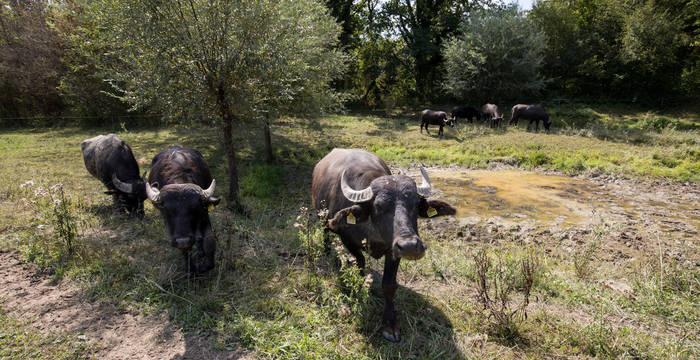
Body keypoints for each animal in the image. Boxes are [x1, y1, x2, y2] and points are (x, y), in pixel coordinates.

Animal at [314, 149, 456, 344]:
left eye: (415, 205)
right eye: (379, 206)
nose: (410, 246)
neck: (374, 234)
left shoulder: (393, 251)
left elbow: (389, 285)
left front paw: (390, 324)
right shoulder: (347, 240)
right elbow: (360, 263)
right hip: (321, 218)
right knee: (325, 234)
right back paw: (326, 252)